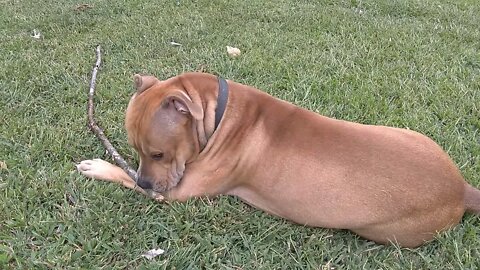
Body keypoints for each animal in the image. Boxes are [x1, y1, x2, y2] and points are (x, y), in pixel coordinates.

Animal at [79, 71, 480, 247]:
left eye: (158, 153)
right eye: (136, 148)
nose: (149, 182)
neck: (218, 113)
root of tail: (460, 188)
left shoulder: (176, 192)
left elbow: (126, 177)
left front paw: (100, 167)